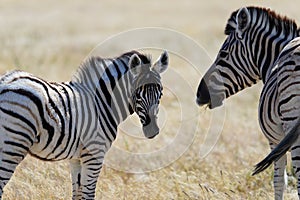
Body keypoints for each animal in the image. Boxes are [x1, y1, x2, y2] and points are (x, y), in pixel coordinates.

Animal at [0, 50, 169, 198]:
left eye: (161, 93)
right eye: (137, 94)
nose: (153, 131)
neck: (101, 102)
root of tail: (5, 82)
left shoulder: (76, 157)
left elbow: (77, 193)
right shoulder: (94, 153)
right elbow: (88, 194)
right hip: (13, 145)